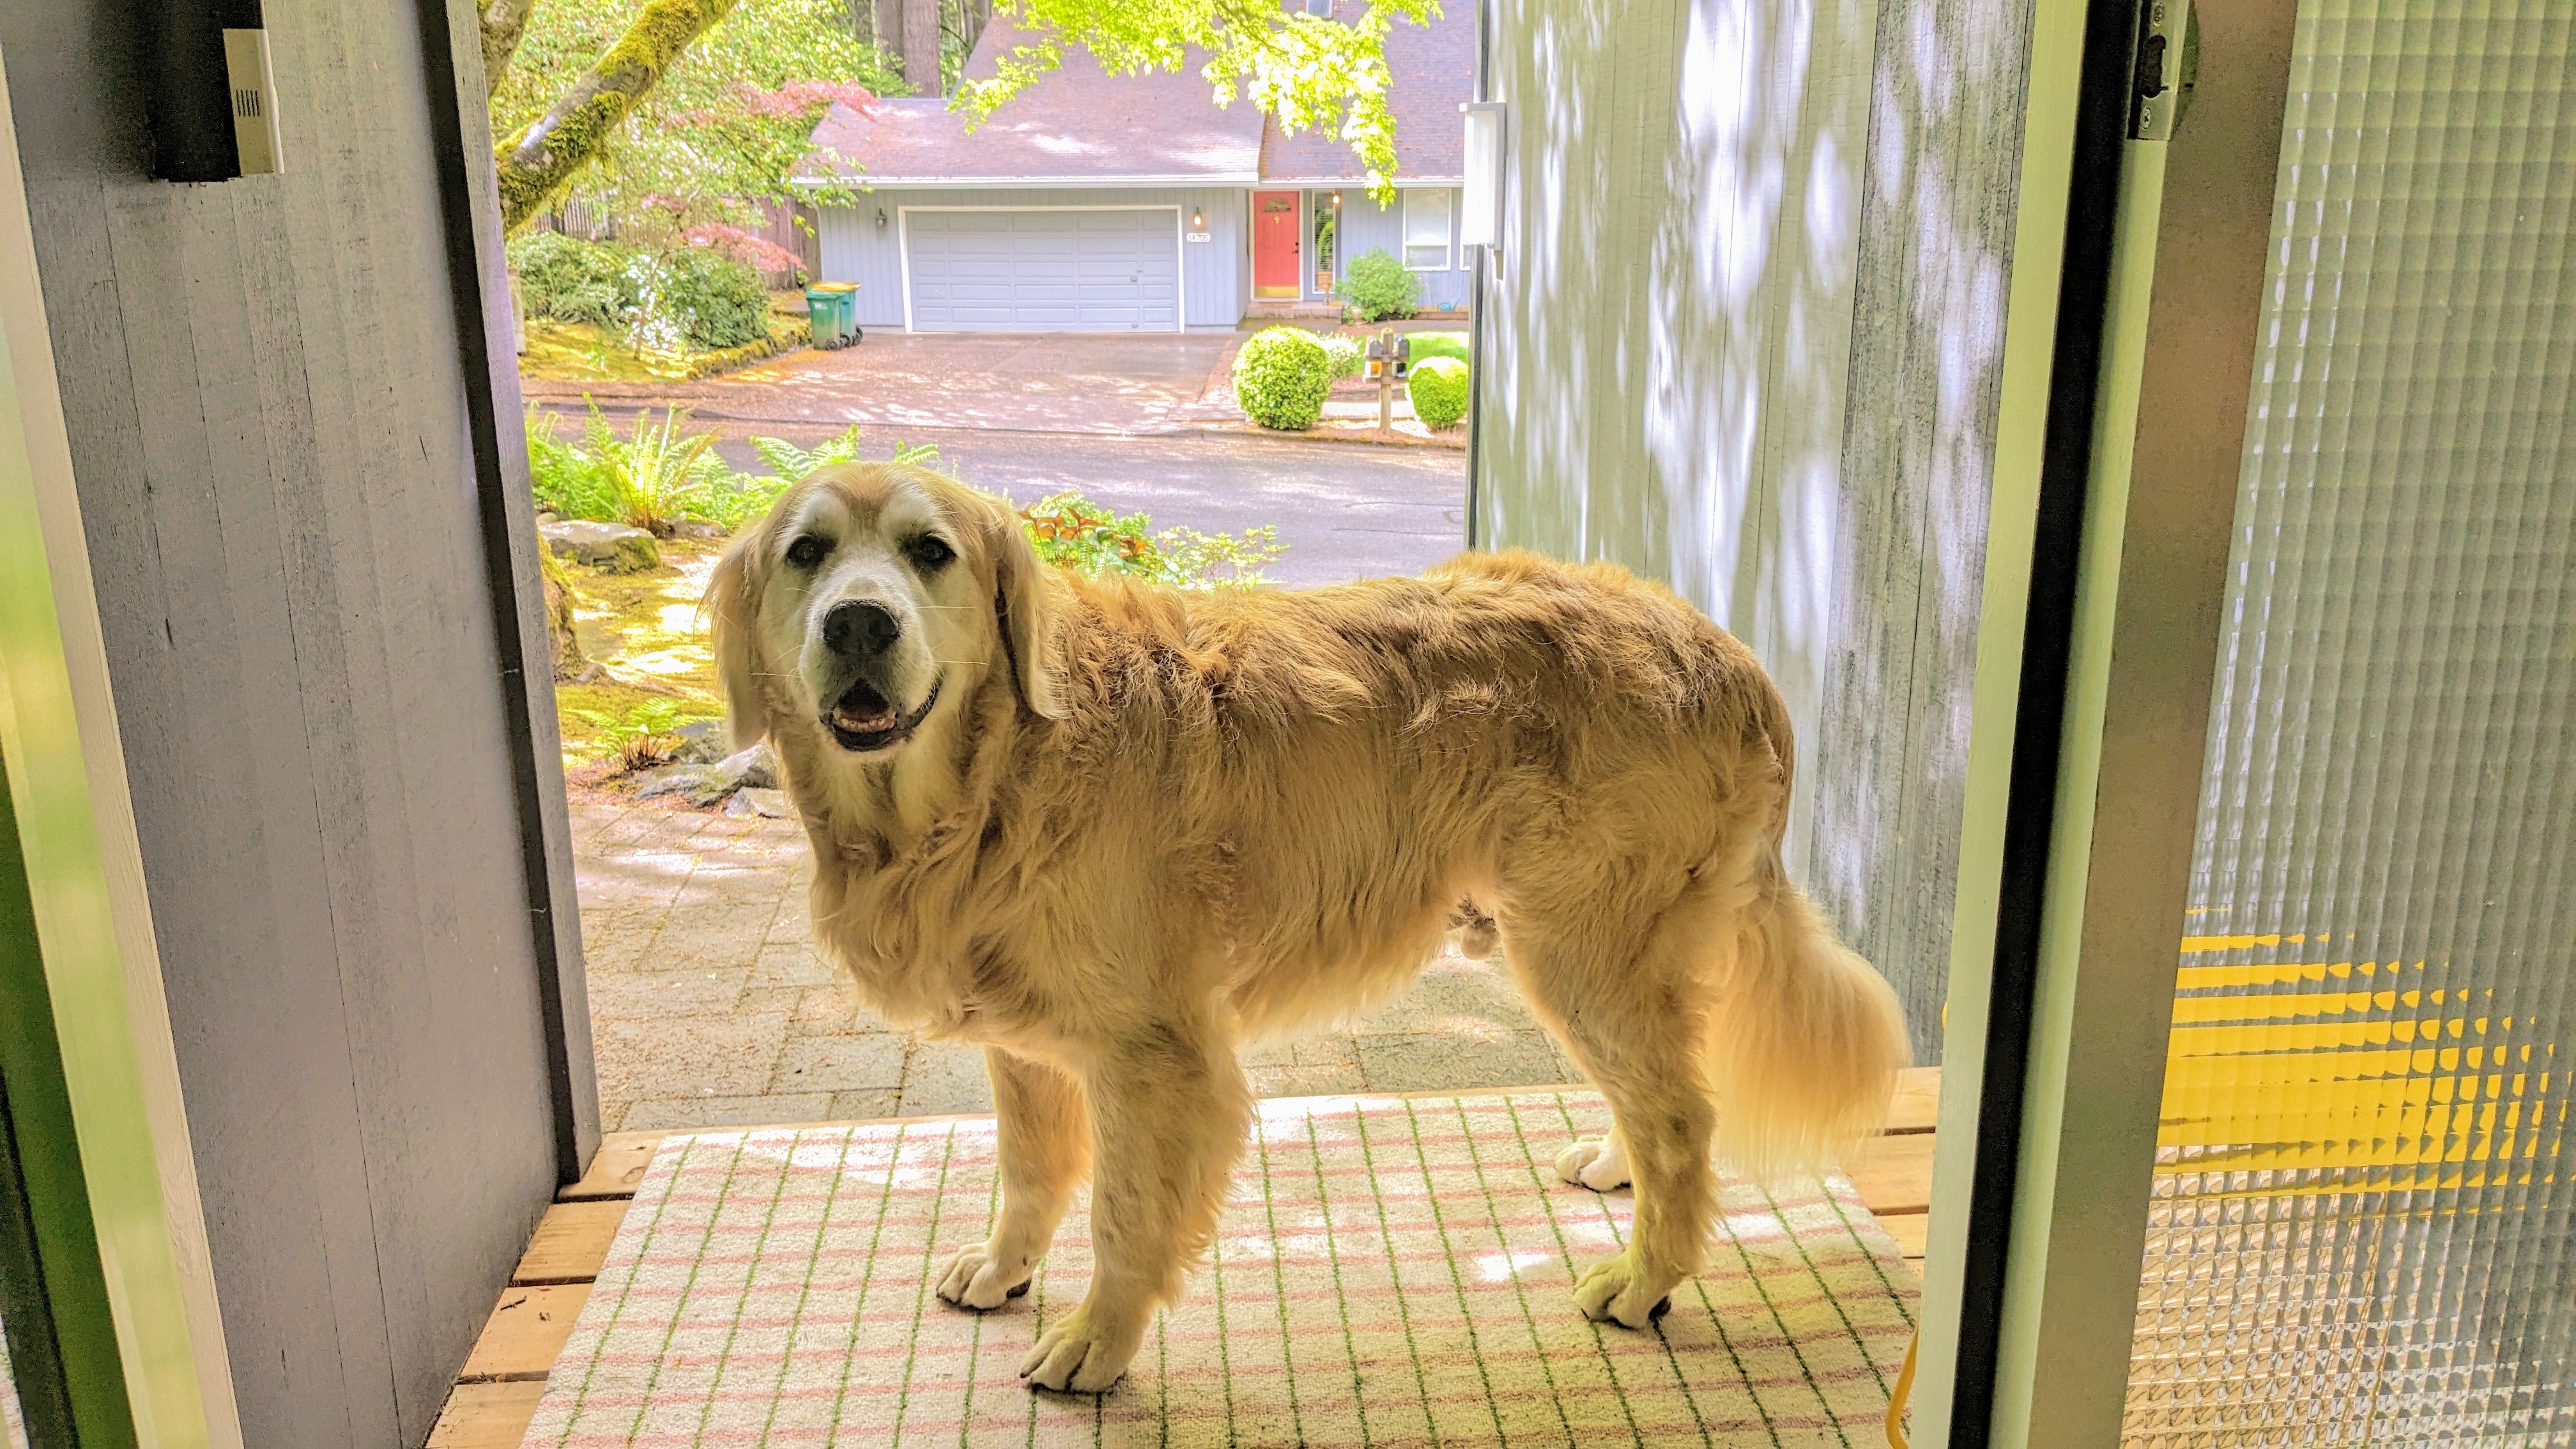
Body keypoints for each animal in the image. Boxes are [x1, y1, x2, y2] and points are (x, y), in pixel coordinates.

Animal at [710, 461, 1916, 1392]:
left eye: (931, 552)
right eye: (808, 552)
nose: (857, 623)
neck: (997, 773)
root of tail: (1723, 648)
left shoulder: (1155, 1056)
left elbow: (1123, 1216)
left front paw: (1096, 1344)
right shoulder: (1030, 1037)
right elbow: (1032, 1170)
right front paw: (1007, 1270)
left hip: (1578, 948)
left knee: (1681, 1117)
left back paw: (1645, 1281)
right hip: (1590, 952)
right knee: (1665, 1096)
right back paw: (1618, 1172)